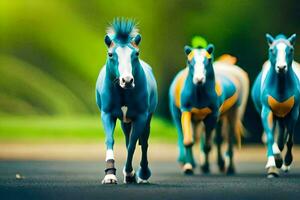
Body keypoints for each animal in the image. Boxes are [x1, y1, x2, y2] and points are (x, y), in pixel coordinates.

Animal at [96, 18, 158, 184]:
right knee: (127, 138)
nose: (127, 80)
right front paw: (110, 175)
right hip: (125, 121)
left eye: (136, 53)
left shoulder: (141, 117)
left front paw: (130, 173)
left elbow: (133, 145)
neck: (123, 92)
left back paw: (143, 174)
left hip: (147, 118)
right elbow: (110, 140)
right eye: (110, 54)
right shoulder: (107, 114)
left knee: (144, 142)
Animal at [169, 44, 248, 174]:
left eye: (209, 60)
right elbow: (188, 141)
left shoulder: (213, 115)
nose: (199, 79)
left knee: (229, 137)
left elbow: (207, 145)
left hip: (234, 112)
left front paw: (205, 166)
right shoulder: (186, 111)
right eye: (189, 61)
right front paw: (188, 166)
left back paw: (229, 167)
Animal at [252, 33, 298, 178]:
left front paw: (287, 161)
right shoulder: (267, 109)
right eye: (272, 50)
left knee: (283, 138)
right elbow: (270, 137)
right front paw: (275, 161)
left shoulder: (293, 111)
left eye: (290, 50)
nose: (281, 68)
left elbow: (289, 139)